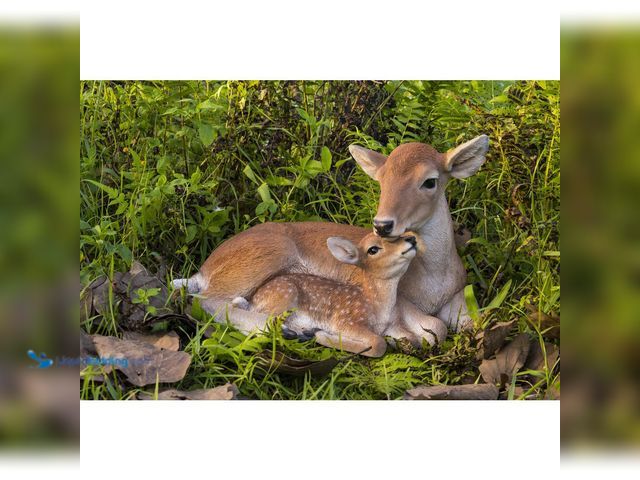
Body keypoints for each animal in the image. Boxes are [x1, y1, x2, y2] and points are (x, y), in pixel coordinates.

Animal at [172, 135, 489, 343]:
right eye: (381, 181)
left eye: (430, 181)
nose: (382, 224)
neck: (433, 280)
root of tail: (204, 270)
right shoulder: (398, 299)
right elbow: (436, 329)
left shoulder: (459, 294)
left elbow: (473, 323)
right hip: (266, 256)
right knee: (205, 301)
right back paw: (288, 329)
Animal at [231, 232, 445, 357]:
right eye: (373, 249)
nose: (411, 239)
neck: (378, 306)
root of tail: (254, 297)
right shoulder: (346, 319)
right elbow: (378, 344)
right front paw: (323, 335)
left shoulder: (393, 326)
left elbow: (413, 338)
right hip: (285, 295)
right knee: (257, 319)